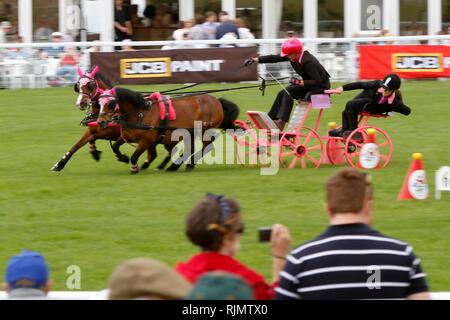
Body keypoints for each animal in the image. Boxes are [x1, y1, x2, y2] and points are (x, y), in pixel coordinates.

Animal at [97, 86, 241, 174]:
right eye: (99, 103)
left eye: (110, 103)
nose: (100, 122)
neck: (140, 113)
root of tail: (216, 100)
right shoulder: (128, 136)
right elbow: (115, 147)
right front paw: (123, 157)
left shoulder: (146, 141)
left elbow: (135, 156)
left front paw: (134, 167)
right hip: (190, 132)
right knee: (190, 148)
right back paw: (176, 165)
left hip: (203, 130)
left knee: (207, 146)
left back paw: (186, 164)